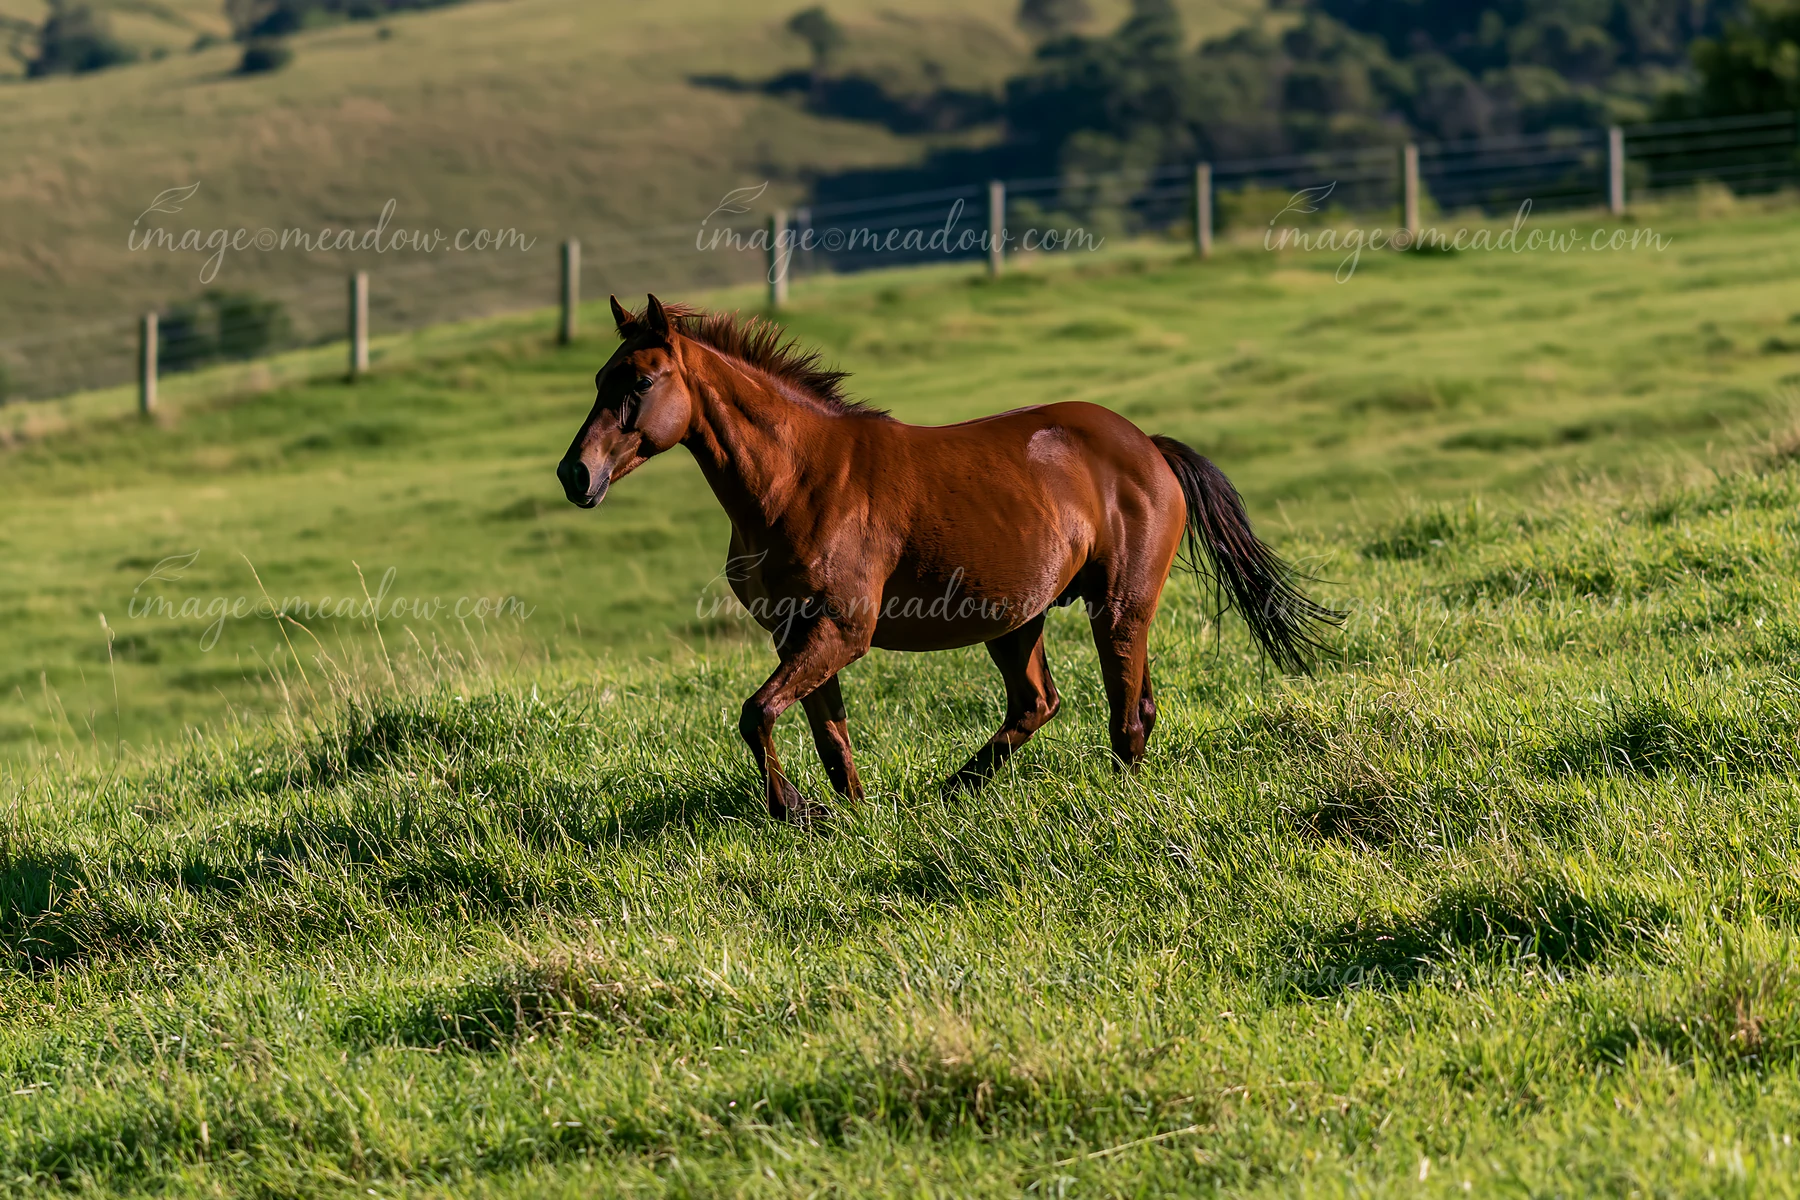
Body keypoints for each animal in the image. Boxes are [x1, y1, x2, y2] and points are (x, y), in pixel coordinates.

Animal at [558, 294, 1339, 823]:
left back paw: (1108, 801)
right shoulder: (797, 633)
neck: (798, 478)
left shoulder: (842, 629)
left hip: (1118, 606)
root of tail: (1148, 446)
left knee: (1125, 713)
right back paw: (954, 789)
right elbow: (828, 735)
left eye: (640, 382)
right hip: (1017, 619)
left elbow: (756, 713)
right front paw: (850, 816)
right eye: (598, 378)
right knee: (1044, 702)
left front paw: (795, 810)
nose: (575, 475)